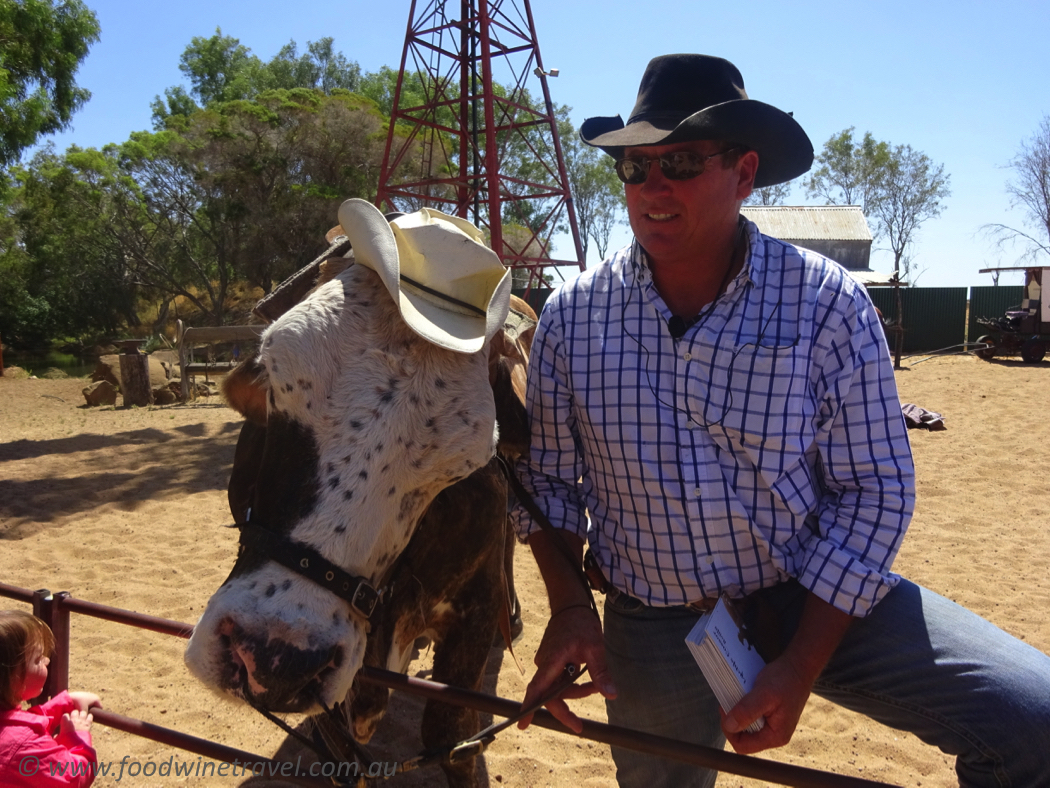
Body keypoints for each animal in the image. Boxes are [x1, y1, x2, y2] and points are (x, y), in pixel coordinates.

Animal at [181, 200, 537, 785]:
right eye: (275, 381)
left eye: (462, 461)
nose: (277, 658)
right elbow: (344, 756)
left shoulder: (473, 611)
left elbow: (451, 739)